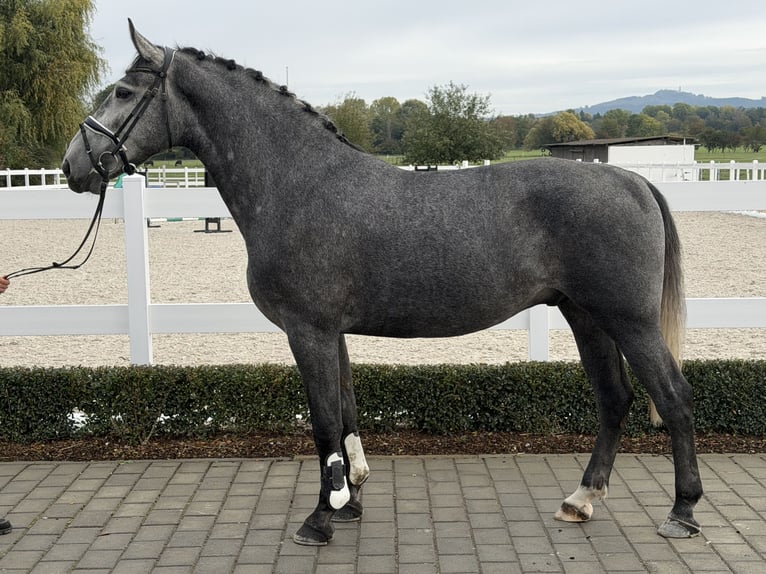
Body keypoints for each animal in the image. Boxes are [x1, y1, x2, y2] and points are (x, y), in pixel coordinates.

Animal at [61, 21, 702, 545]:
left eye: (122, 92)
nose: (72, 165)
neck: (298, 183)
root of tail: (632, 180)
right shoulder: (332, 334)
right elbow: (344, 413)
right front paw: (349, 501)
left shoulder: (309, 331)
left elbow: (323, 423)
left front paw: (319, 518)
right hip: (585, 314)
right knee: (614, 398)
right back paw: (581, 499)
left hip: (628, 320)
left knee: (672, 396)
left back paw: (683, 511)